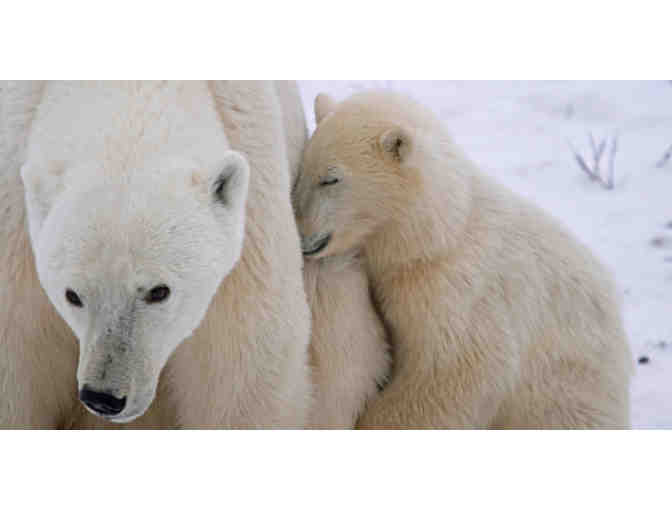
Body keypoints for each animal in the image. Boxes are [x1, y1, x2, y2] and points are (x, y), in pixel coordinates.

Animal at [293, 90, 633, 428]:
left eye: (331, 179)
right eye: (303, 170)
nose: (300, 233)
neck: (437, 235)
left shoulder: (461, 291)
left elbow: (455, 371)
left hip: (565, 388)